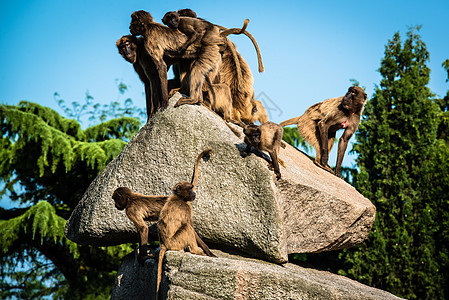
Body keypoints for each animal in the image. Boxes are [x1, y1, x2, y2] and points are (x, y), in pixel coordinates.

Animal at [156, 149, 215, 298]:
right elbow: (191, 227)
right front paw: (209, 252)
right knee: (186, 228)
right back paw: (195, 251)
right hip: (175, 242)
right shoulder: (187, 208)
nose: (194, 193)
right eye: (189, 189)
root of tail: (163, 244)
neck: (179, 198)